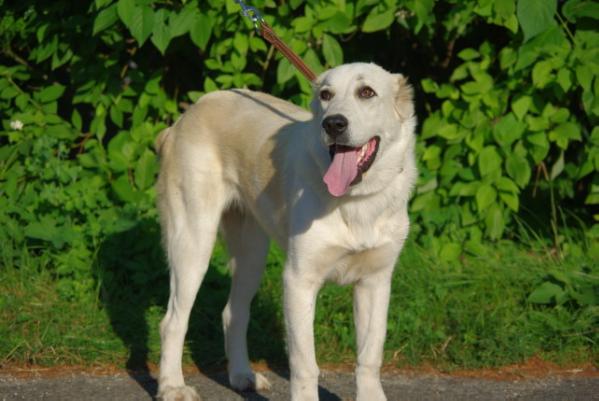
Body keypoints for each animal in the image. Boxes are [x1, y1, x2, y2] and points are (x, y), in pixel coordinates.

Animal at [155, 62, 418, 400]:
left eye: (367, 92)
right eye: (326, 95)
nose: (333, 124)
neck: (355, 201)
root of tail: (185, 118)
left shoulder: (375, 283)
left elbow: (369, 358)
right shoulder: (298, 281)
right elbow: (305, 365)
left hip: (251, 256)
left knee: (232, 313)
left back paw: (242, 376)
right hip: (192, 244)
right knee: (173, 322)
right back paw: (172, 386)